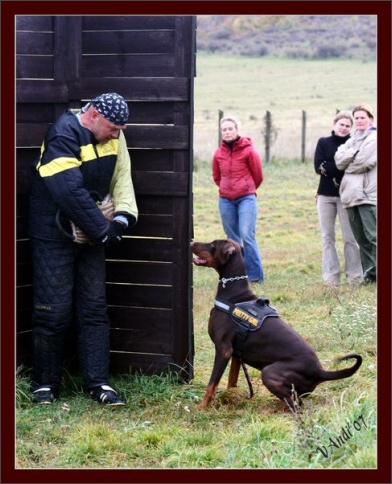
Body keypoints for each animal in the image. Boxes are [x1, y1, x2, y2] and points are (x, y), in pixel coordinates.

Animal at [190, 240, 362, 410]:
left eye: (212, 245)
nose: (191, 243)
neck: (233, 295)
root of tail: (320, 372)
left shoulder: (223, 349)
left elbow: (212, 383)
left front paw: (201, 407)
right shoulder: (235, 353)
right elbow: (232, 380)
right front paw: (230, 398)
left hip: (269, 372)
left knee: (294, 405)